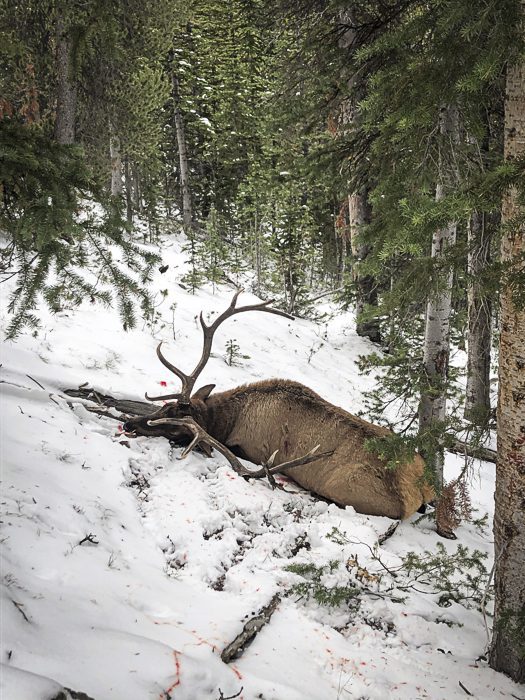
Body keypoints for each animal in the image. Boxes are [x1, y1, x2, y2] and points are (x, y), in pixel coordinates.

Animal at [123, 291, 435, 519]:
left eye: (177, 425)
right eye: (165, 407)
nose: (129, 424)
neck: (231, 419)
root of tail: (418, 490)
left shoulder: (248, 447)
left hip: (350, 490)